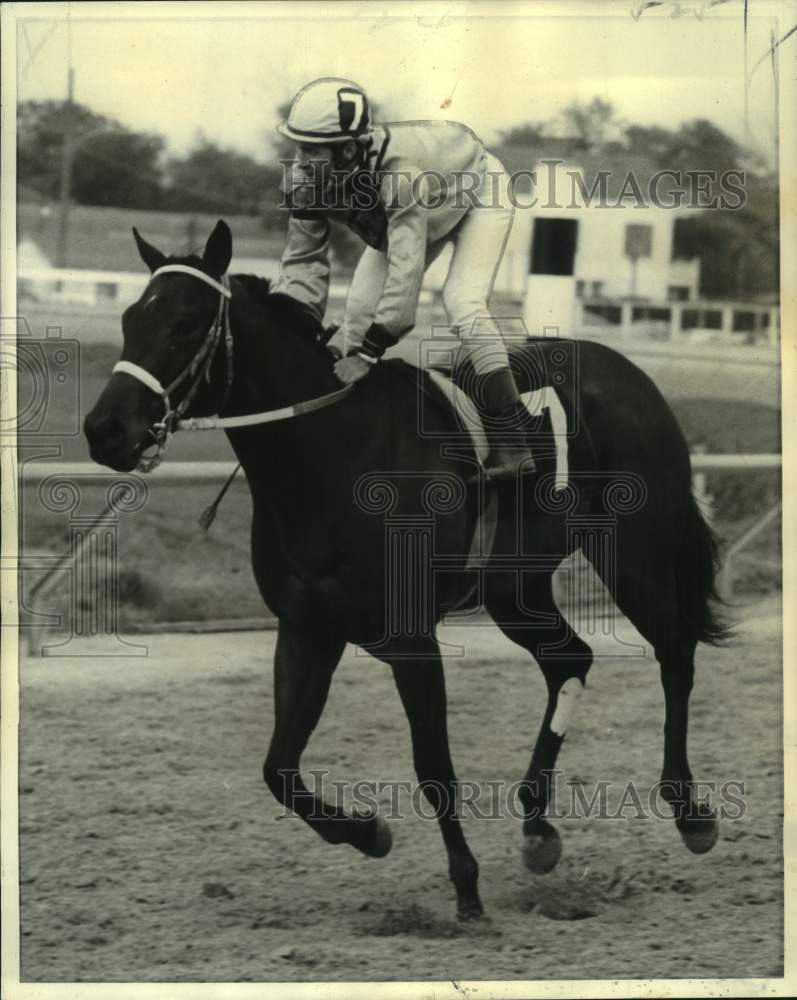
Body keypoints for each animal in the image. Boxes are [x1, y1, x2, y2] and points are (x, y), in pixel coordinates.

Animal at [85, 221, 728, 920]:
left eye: (185, 323)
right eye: (129, 318)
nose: (104, 430)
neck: (329, 455)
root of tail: (636, 376)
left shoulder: (412, 639)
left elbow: (434, 765)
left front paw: (466, 885)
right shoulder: (308, 630)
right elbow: (279, 766)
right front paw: (367, 832)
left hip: (634, 555)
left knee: (676, 654)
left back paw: (690, 812)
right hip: (515, 587)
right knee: (570, 661)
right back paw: (536, 826)